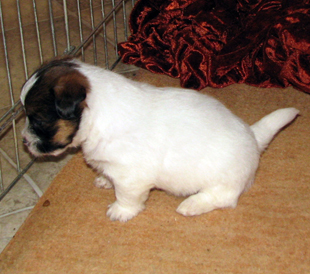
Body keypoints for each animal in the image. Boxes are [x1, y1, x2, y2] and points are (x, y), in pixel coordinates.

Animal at [20, 58, 300, 223]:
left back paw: (191, 204)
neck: (98, 116)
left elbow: (126, 196)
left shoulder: (130, 176)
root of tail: (253, 136)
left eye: (37, 121)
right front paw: (103, 180)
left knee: (223, 198)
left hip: (223, 181)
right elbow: (109, 176)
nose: (23, 141)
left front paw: (120, 211)